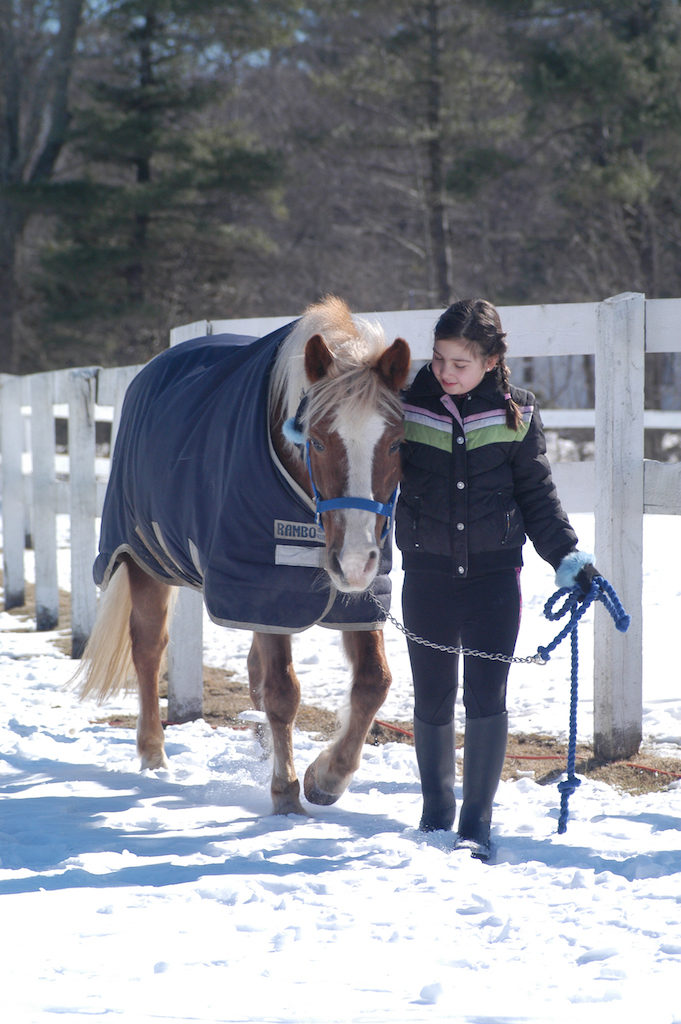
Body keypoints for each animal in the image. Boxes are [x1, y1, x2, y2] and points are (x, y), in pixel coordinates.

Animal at [76, 296, 411, 815]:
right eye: (316, 440)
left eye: (396, 442)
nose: (354, 560)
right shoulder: (263, 585)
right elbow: (282, 692)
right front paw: (287, 792)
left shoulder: (358, 596)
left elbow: (374, 681)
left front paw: (326, 777)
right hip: (144, 562)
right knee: (149, 650)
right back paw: (153, 755)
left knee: (253, 669)